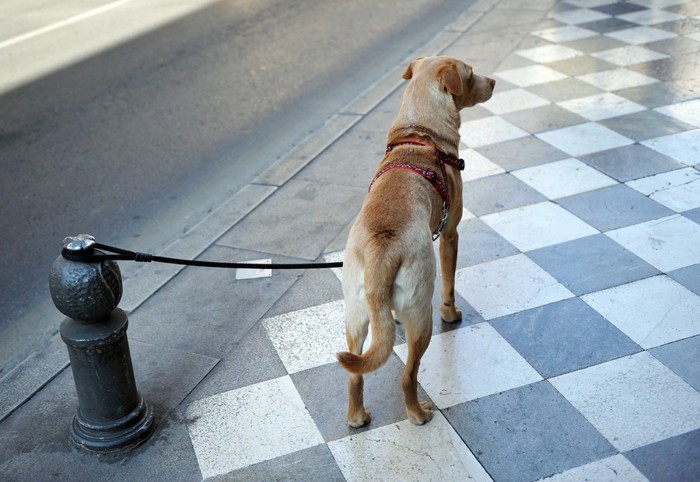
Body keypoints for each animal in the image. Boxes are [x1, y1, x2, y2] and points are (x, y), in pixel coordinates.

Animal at [338, 55, 492, 426]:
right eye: (471, 74)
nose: (494, 81)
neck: (419, 131)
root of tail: (379, 253)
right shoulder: (450, 233)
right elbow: (451, 281)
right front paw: (452, 313)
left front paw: (392, 317)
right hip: (422, 318)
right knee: (408, 375)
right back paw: (418, 414)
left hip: (355, 317)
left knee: (355, 373)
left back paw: (357, 417)